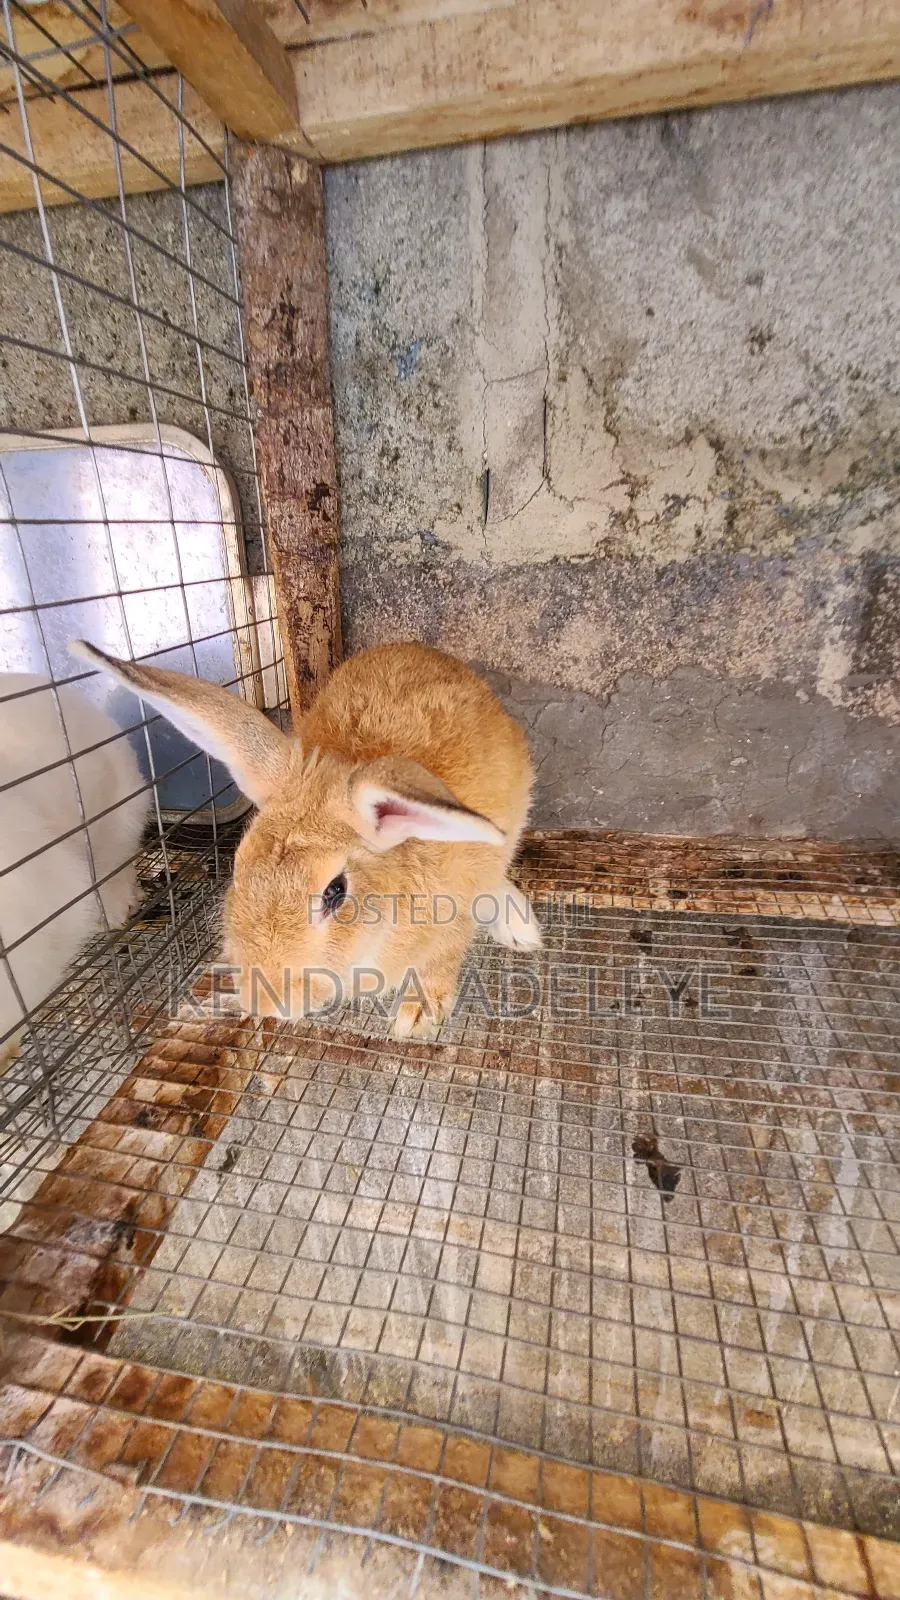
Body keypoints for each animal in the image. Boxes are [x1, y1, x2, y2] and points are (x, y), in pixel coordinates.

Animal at [72, 640, 542, 1040]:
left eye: (336, 891)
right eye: (238, 866)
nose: (266, 1004)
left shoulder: (455, 913)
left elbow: (444, 956)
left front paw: (418, 1016)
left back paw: (520, 927)